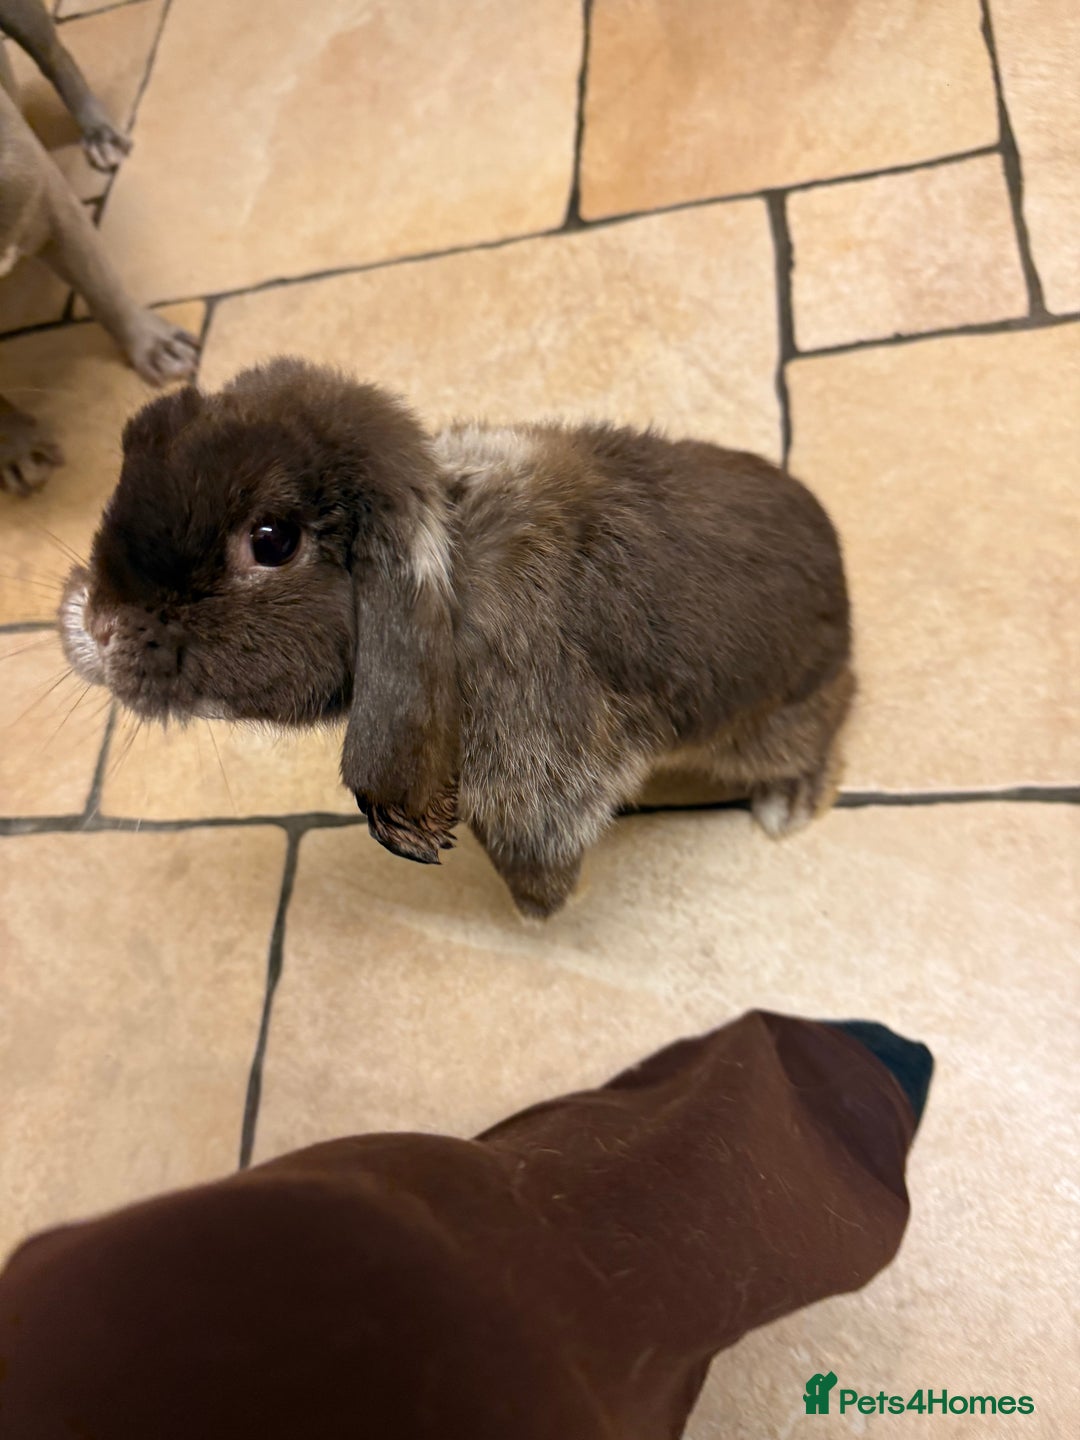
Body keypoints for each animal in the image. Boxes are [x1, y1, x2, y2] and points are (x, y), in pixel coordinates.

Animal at [59, 357, 854, 918]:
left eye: (272, 539)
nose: (95, 623)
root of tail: (842, 595)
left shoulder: (540, 774)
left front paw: (539, 906)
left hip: (769, 725)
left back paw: (785, 808)